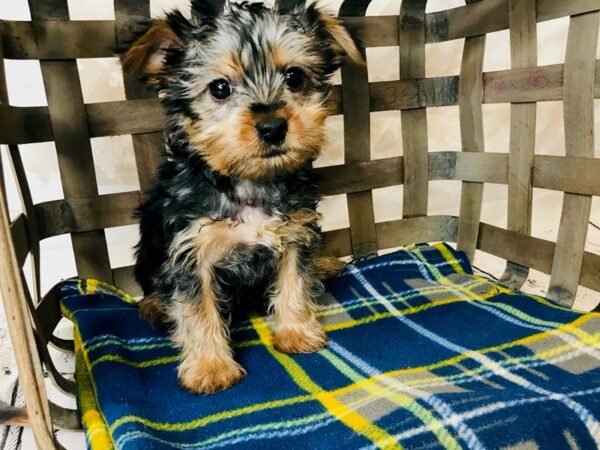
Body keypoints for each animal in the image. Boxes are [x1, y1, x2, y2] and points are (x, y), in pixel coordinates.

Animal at [119, 0, 358, 394]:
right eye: (219, 88)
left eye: (294, 77)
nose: (273, 126)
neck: (250, 183)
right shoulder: (191, 250)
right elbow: (198, 309)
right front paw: (210, 367)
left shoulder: (296, 233)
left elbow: (294, 281)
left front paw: (296, 331)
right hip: (149, 249)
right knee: (153, 285)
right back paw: (155, 306)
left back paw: (324, 265)